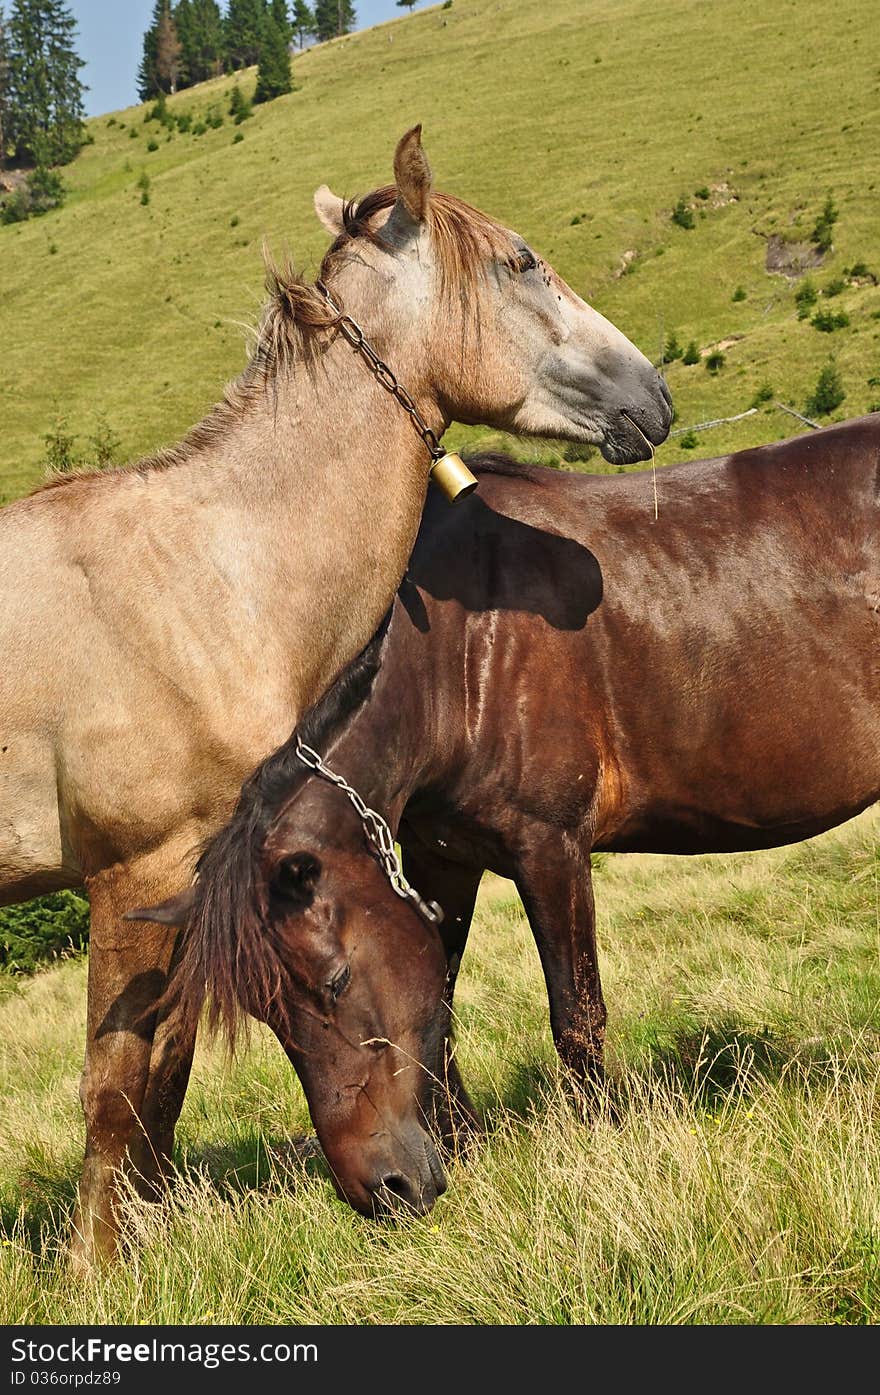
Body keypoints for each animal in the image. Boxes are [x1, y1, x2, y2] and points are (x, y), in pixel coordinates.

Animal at [0, 128, 672, 1266]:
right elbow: (113, 1086)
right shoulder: (132, 875)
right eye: (522, 261)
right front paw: (95, 1270)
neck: (209, 574)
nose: (653, 394)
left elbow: (164, 1079)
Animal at [142, 412, 880, 1210]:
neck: (459, 660)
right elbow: (439, 1008)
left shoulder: (549, 848)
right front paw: (464, 1145)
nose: (385, 1191)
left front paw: (603, 1144)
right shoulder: (440, 864)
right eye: (268, 1014)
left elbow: (577, 1014)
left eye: (334, 981)